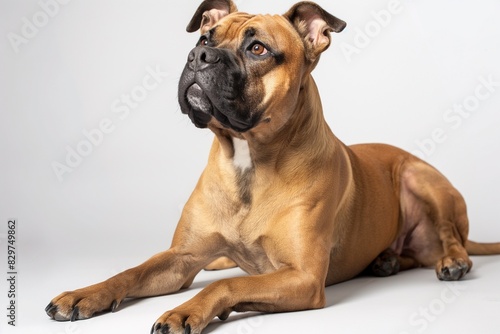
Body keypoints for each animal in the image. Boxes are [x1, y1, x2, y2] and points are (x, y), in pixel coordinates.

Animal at [45, 1, 500, 332]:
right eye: (206, 36)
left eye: (257, 49)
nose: (199, 54)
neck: (249, 161)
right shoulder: (182, 259)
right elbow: (132, 271)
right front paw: (85, 294)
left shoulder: (302, 277)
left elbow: (231, 282)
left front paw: (186, 311)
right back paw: (385, 261)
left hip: (420, 177)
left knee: (450, 234)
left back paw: (452, 261)